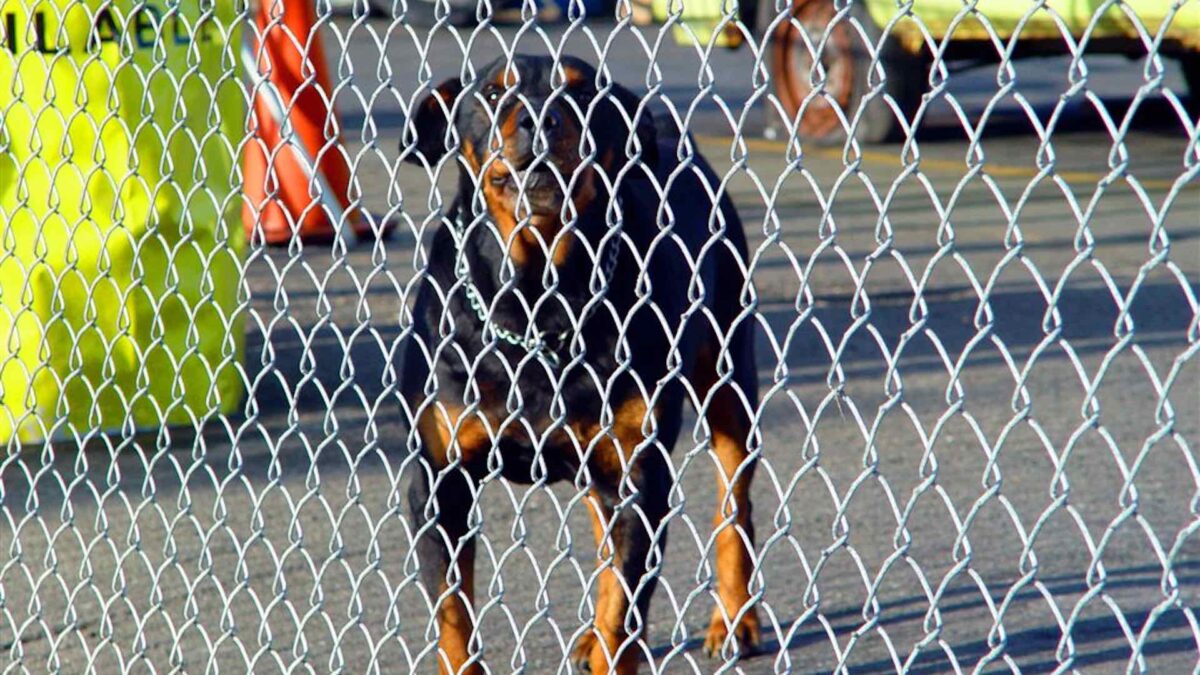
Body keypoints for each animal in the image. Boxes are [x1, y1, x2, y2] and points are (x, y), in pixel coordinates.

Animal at [400, 53, 758, 672]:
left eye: (584, 91)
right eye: (492, 91)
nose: (540, 118)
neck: (536, 303)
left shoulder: (639, 476)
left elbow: (625, 607)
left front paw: (613, 643)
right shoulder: (438, 478)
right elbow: (453, 616)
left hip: (728, 376)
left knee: (734, 503)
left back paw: (735, 620)